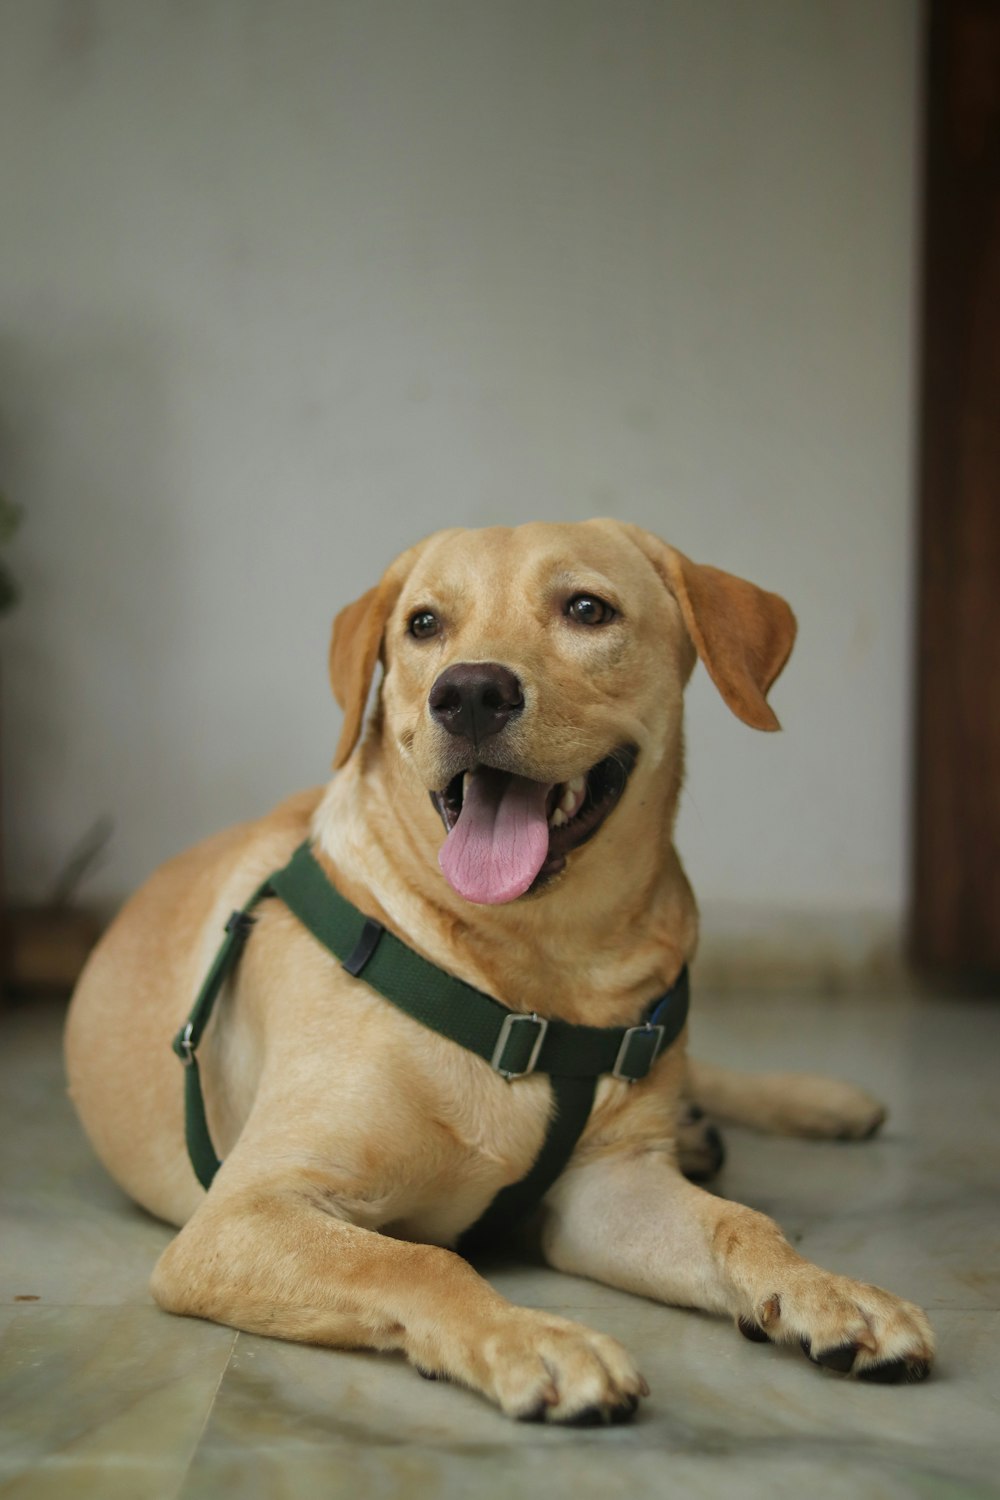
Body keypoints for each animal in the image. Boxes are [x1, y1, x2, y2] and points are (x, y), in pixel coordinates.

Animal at [66, 525, 935, 1416]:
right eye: (422, 624)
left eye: (587, 609)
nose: (471, 693)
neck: (536, 969)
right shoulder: (242, 1212)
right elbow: (418, 1259)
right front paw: (535, 1339)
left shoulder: (609, 1186)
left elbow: (744, 1222)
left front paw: (829, 1292)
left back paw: (816, 1103)